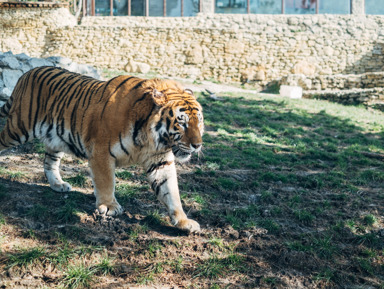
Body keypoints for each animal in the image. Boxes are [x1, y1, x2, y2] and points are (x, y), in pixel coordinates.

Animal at [0, 66, 204, 232]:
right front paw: (109, 206)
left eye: (199, 121)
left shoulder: (160, 160)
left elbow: (171, 191)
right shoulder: (101, 152)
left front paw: (184, 221)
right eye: (182, 123)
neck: (151, 138)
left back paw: (58, 185)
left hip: (55, 138)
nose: (197, 145)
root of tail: (27, 73)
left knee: (49, 161)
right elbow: (106, 182)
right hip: (18, 129)